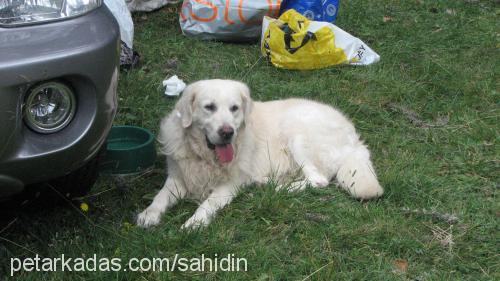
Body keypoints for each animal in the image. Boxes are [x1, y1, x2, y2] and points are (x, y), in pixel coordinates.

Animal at [137, 79, 382, 228]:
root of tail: (355, 138)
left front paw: (194, 223)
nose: (227, 132)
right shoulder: (178, 178)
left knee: (318, 180)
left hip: (295, 129)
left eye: (234, 108)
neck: (205, 156)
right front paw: (148, 215)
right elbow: (160, 196)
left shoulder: (231, 184)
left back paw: (273, 186)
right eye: (209, 107)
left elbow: (208, 202)